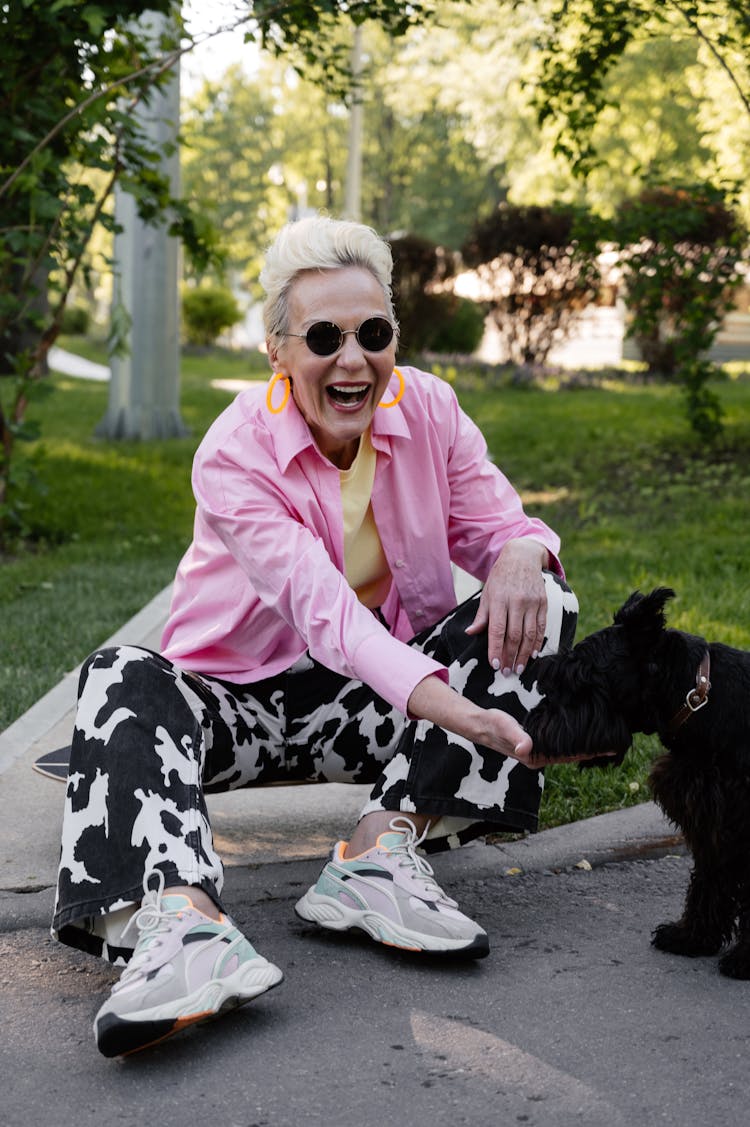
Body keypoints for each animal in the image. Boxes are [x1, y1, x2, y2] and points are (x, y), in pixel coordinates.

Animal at [523, 590, 750, 978]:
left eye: (580, 678)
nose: (532, 726)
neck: (701, 697)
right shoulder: (711, 821)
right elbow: (709, 880)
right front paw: (691, 937)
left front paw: (745, 960)